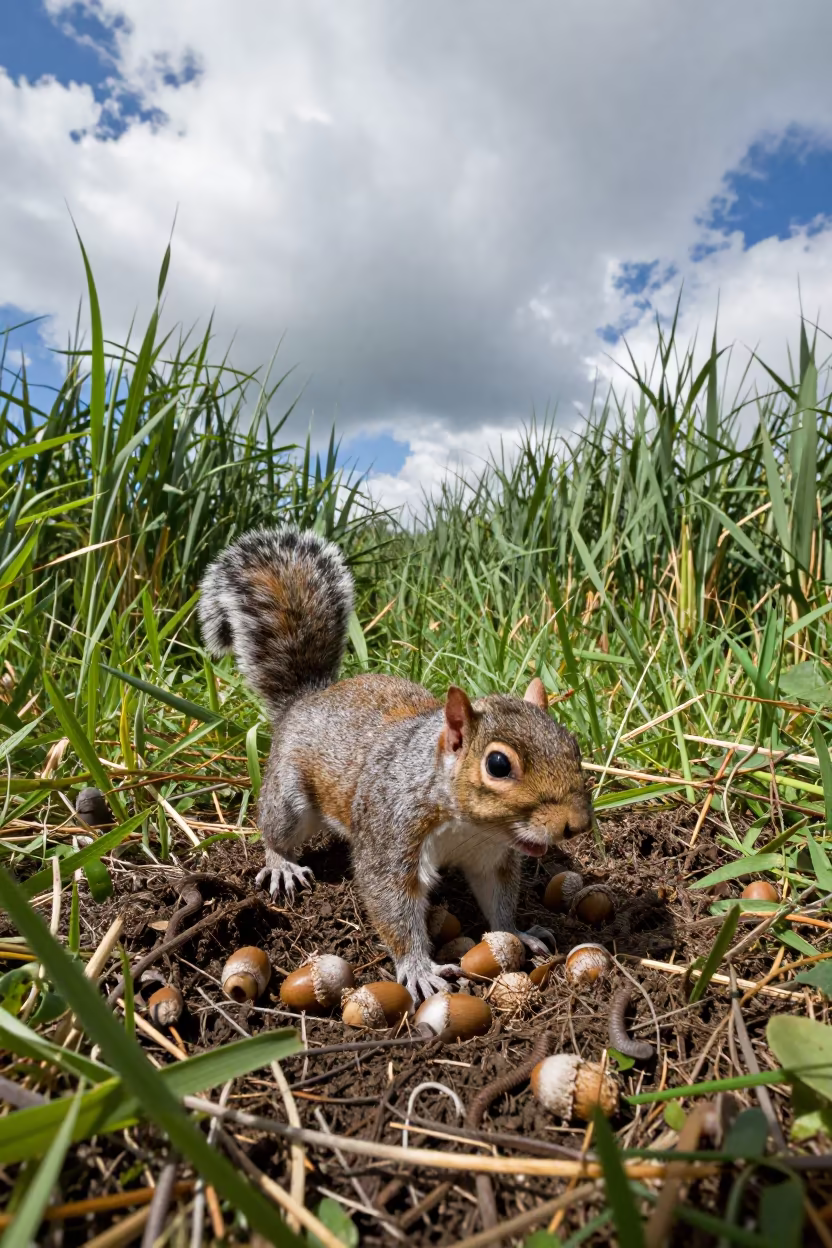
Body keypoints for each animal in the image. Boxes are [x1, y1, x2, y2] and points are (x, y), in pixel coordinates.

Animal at [199, 526, 593, 1002]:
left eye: (573, 743)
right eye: (498, 764)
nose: (577, 824)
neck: (466, 822)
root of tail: (306, 699)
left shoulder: (490, 855)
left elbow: (498, 898)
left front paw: (518, 933)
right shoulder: (392, 834)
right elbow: (392, 903)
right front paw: (418, 968)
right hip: (290, 797)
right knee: (276, 828)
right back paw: (282, 864)